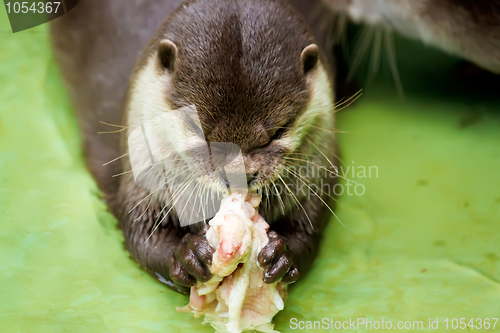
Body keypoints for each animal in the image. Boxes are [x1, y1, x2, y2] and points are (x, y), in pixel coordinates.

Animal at [50, 0, 338, 292]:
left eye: (279, 131)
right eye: (197, 127)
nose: (239, 175)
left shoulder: (319, 174)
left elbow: (309, 226)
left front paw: (282, 254)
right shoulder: (140, 181)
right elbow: (142, 235)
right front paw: (188, 255)